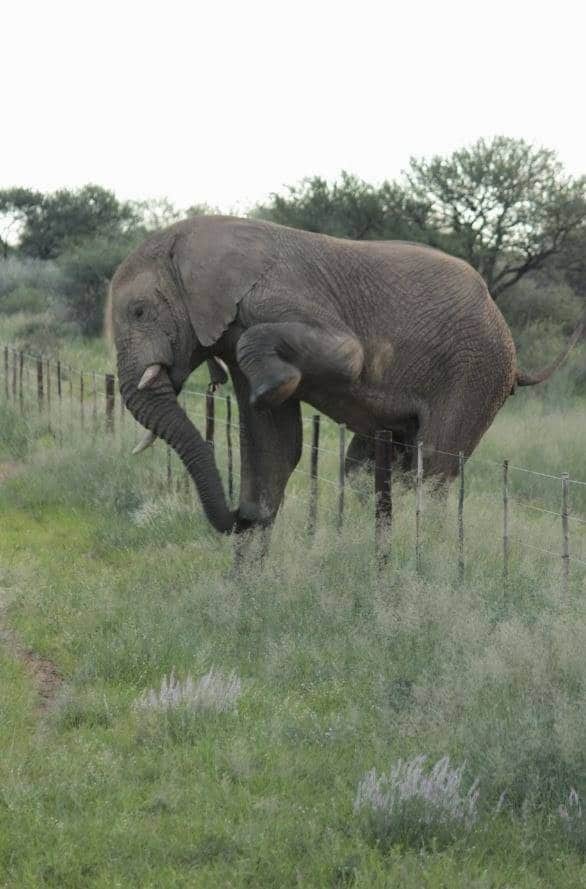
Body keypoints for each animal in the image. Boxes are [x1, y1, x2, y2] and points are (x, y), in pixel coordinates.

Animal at [110, 215, 583, 536]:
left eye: (139, 311)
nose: (241, 518)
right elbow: (273, 447)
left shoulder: (275, 298)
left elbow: (348, 354)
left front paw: (271, 390)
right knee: (367, 467)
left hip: (476, 372)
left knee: (434, 468)